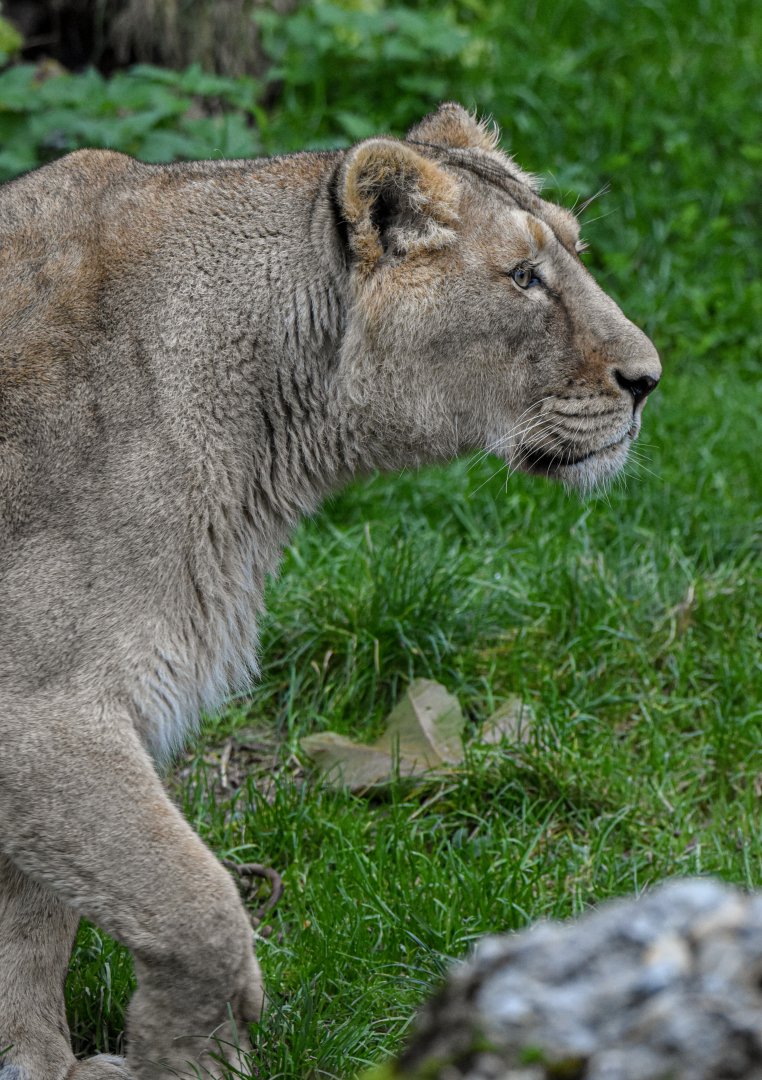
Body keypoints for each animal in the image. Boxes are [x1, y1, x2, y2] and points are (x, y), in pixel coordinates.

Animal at [0, 103, 660, 1079]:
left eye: (574, 254)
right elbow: (194, 906)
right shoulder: (42, 709)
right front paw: (182, 1051)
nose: (648, 379)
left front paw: (39, 1054)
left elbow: (33, 924)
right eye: (524, 277)